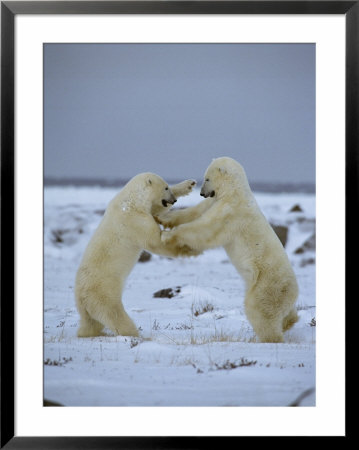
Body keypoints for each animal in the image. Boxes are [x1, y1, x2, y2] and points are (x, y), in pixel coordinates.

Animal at [76, 174, 198, 336]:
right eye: (165, 188)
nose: (174, 200)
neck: (131, 200)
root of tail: (81, 299)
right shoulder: (135, 220)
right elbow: (155, 241)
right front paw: (187, 249)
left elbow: (157, 211)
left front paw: (188, 184)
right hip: (103, 294)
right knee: (116, 316)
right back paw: (136, 335)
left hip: (90, 306)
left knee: (90, 324)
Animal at [162, 156, 300, 342]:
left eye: (207, 178)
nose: (202, 193)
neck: (235, 192)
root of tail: (293, 292)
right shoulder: (215, 201)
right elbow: (194, 212)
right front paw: (164, 218)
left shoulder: (231, 213)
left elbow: (205, 229)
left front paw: (168, 235)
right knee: (285, 314)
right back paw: (289, 322)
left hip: (267, 285)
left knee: (260, 310)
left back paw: (268, 339)